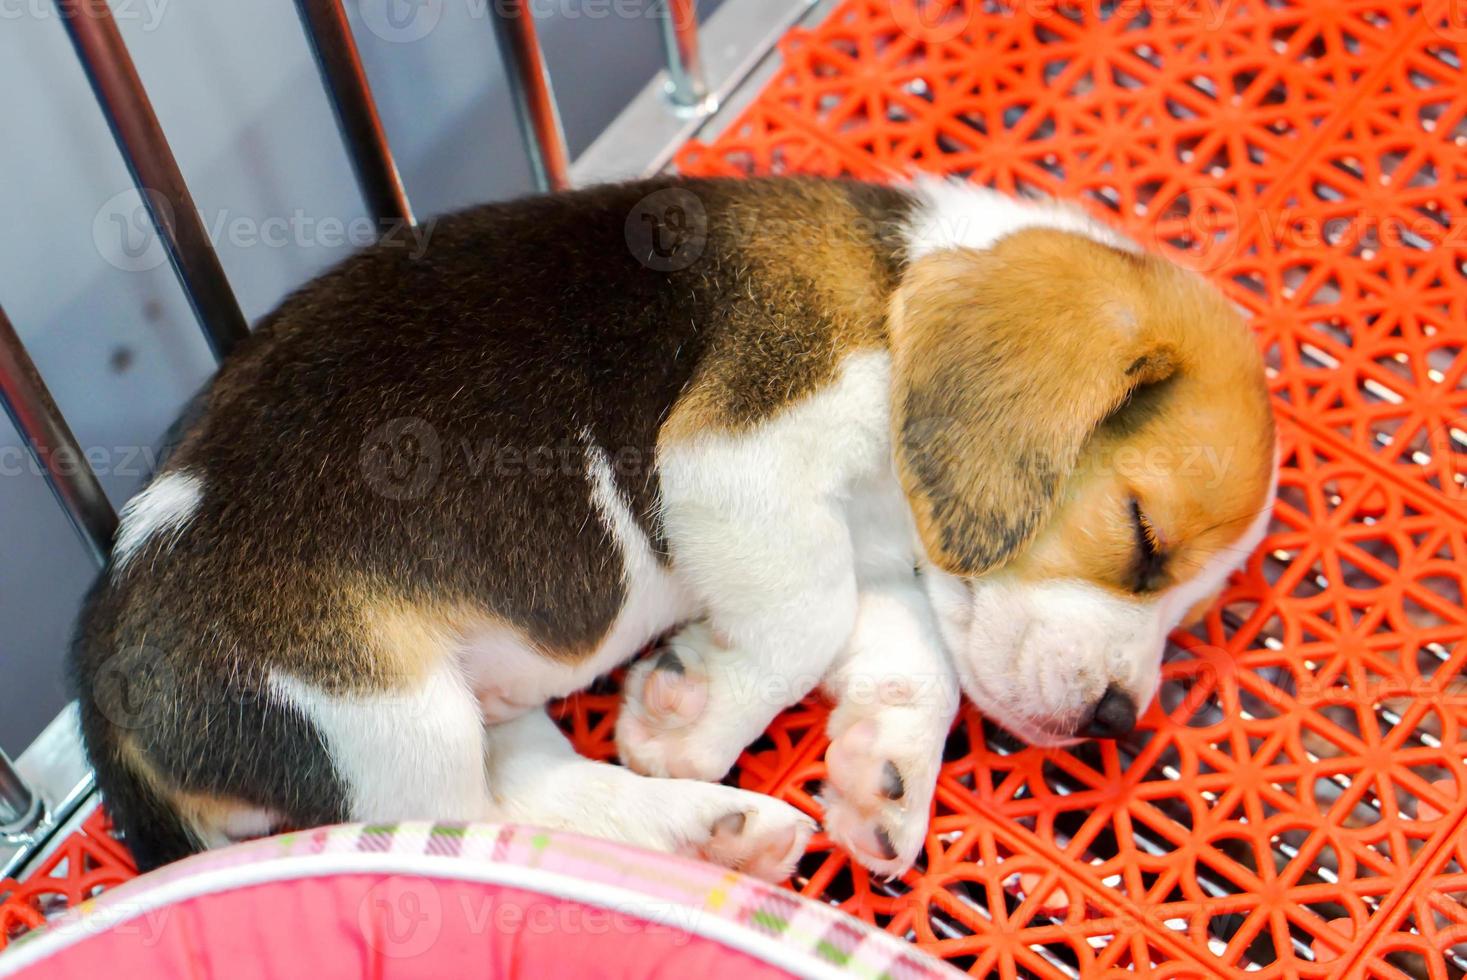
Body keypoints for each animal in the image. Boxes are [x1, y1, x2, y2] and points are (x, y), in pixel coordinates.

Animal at [68, 173, 1273, 880]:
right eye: (1142, 538)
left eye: (1187, 607)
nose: (1117, 719)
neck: (896, 284)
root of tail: (103, 681)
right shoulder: (735, 462)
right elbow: (804, 621)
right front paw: (695, 719)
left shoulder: (870, 558)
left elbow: (901, 653)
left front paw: (880, 771)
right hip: (377, 711)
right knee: (464, 831)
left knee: (524, 795)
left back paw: (711, 834)